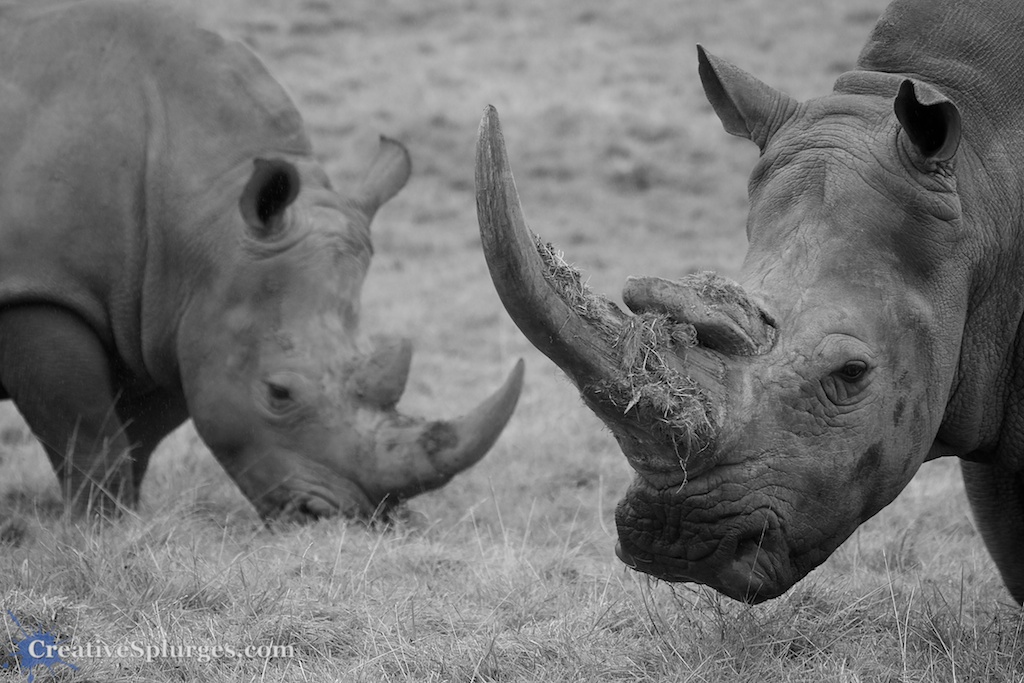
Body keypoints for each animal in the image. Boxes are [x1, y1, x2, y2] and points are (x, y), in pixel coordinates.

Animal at [0, 0, 523, 521]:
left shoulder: (167, 317)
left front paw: (125, 520)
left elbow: (137, 438)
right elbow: (88, 434)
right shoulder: (39, 291)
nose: (334, 517)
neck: (201, 219)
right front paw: (99, 527)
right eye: (278, 393)